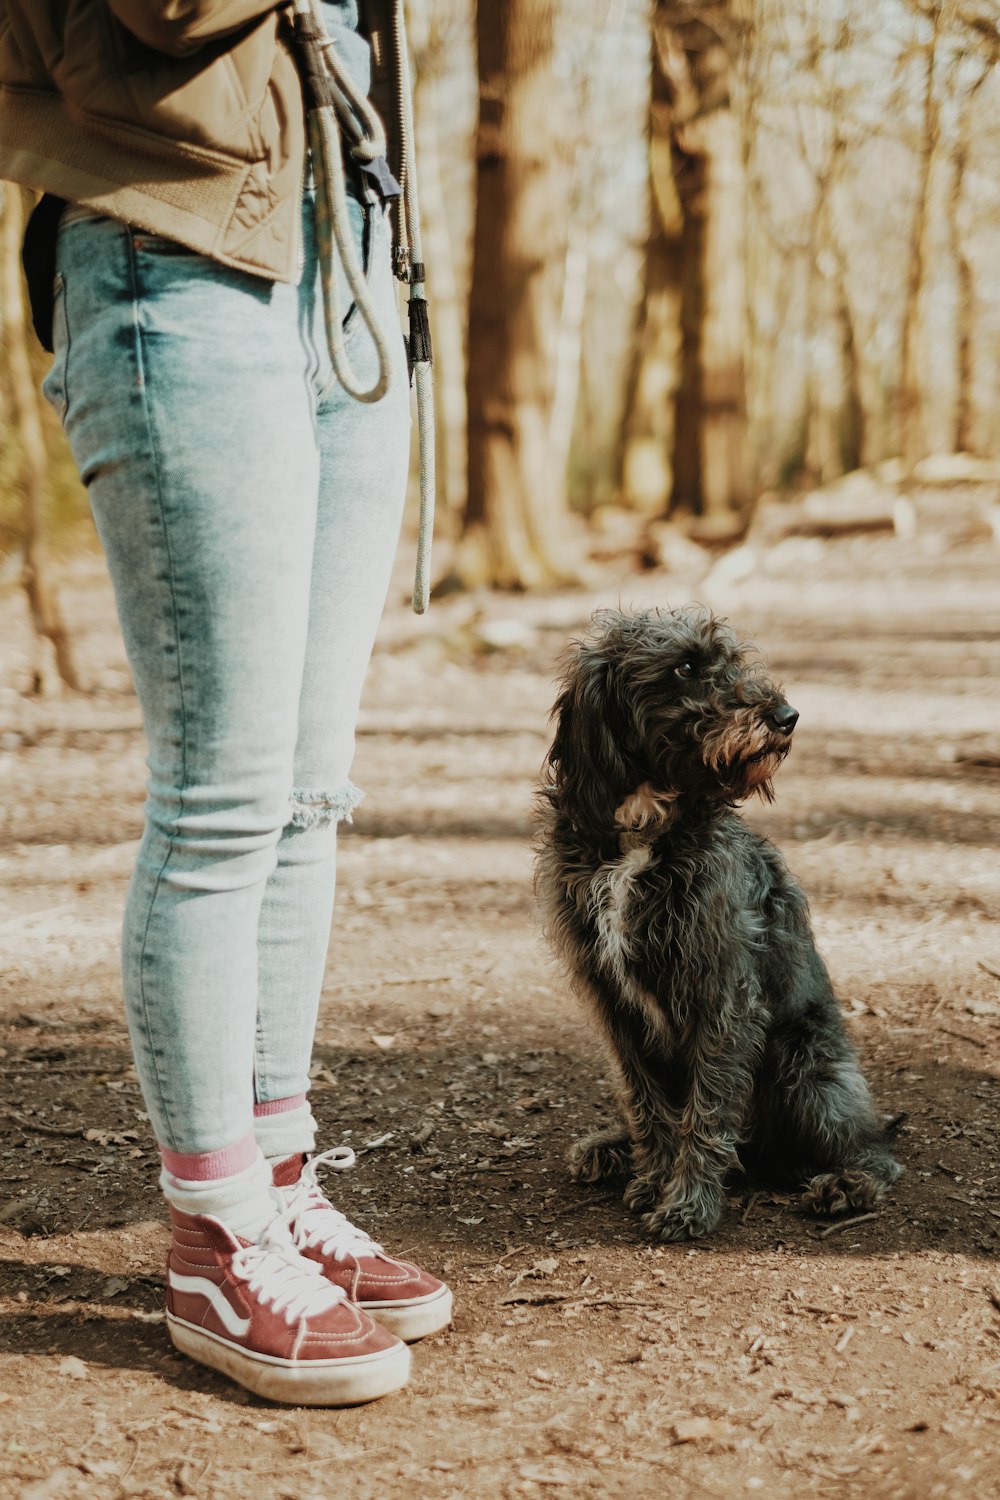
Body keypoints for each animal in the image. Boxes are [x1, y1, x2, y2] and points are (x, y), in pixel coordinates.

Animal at [536, 600, 905, 1242]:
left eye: (732, 660)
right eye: (685, 667)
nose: (787, 716)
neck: (643, 826)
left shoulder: (723, 994)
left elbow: (706, 1109)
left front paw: (688, 1202)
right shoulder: (612, 1003)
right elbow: (648, 1102)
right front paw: (655, 1177)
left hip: (804, 1068)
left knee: (874, 1150)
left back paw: (846, 1185)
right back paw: (612, 1148)